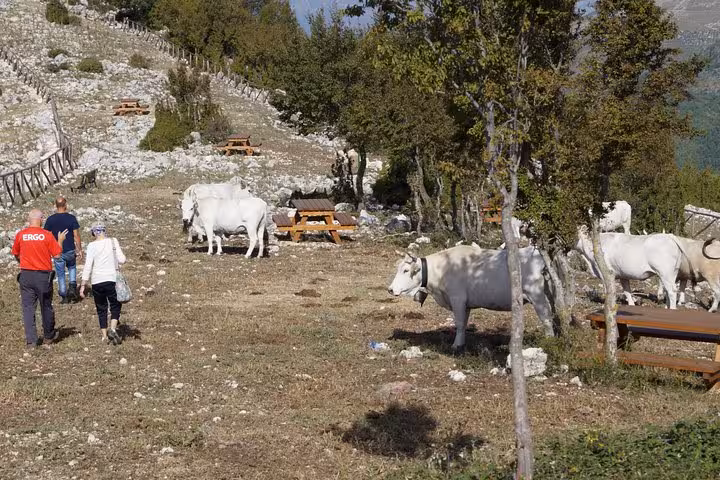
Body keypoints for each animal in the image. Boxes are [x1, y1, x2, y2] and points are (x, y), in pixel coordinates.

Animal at [387, 245, 554, 351]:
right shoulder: (466, 304)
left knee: (546, 319)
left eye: (405, 270)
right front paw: (461, 344)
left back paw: (549, 342)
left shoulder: (457, 299)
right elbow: (464, 324)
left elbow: (460, 323)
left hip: (537, 296)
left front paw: (456, 346)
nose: (390, 289)